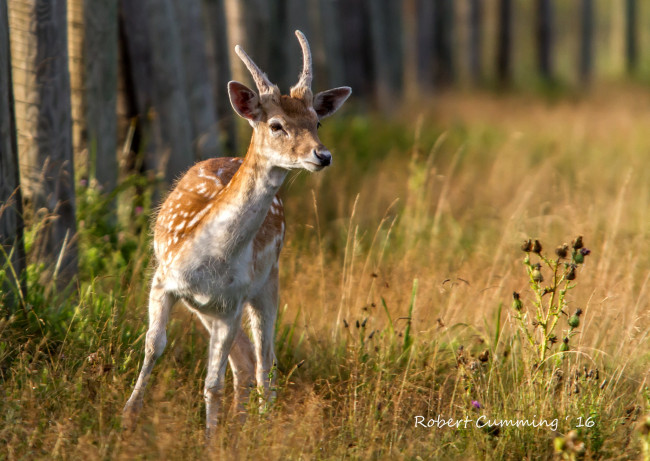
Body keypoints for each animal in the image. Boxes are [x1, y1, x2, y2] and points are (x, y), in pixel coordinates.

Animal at [121, 29, 350, 434]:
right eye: (276, 125)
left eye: (317, 122)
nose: (322, 156)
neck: (210, 257)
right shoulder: (164, 281)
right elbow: (153, 346)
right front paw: (128, 416)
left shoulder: (231, 303)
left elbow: (213, 383)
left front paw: (211, 438)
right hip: (205, 308)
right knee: (245, 360)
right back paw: (244, 423)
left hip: (267, 282)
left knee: (262, 362)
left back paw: (260, 424)